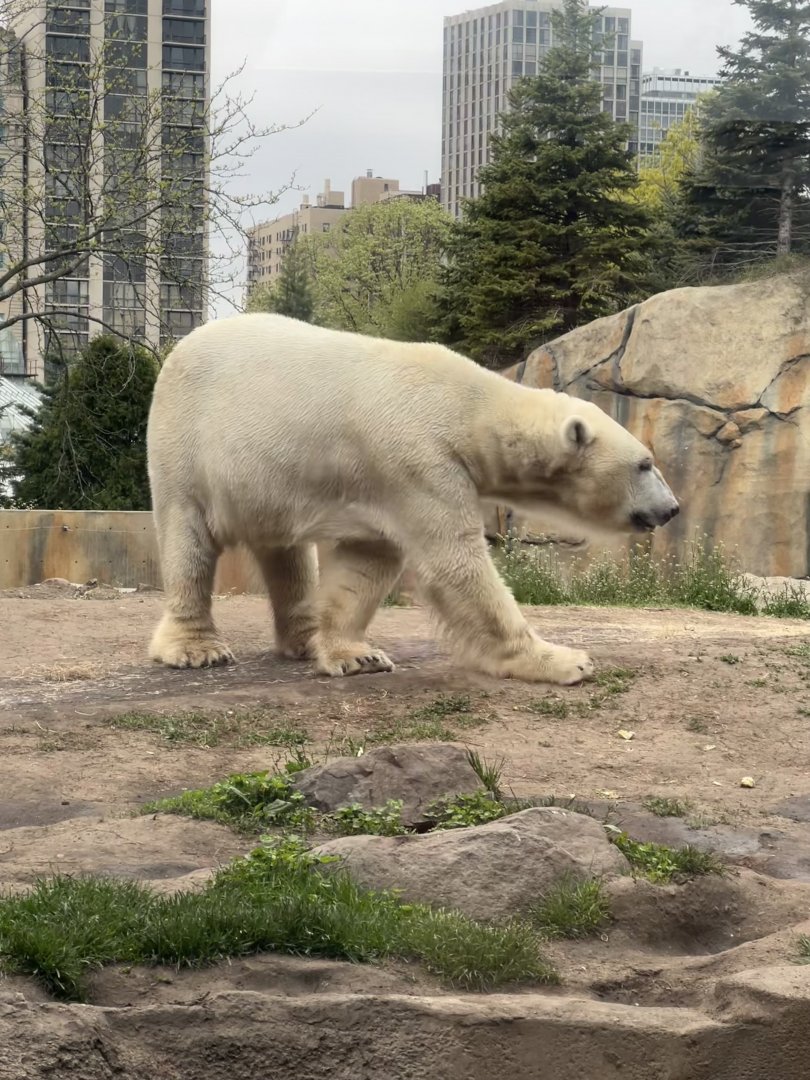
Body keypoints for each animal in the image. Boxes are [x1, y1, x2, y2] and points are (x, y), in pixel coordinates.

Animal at [146, 314, 679, 686]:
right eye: (645, 463)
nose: (672, 508)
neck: (464, 405)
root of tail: (178, 348)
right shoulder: (417, 462)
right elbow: (456, 564)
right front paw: (567, 661)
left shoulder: (383, 483)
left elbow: (367, 564)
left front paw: (356, 654)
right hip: (188, 448)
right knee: (188, 540)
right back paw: (197, 649)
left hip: (267, 479)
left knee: (287, 554)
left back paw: (303, 639)